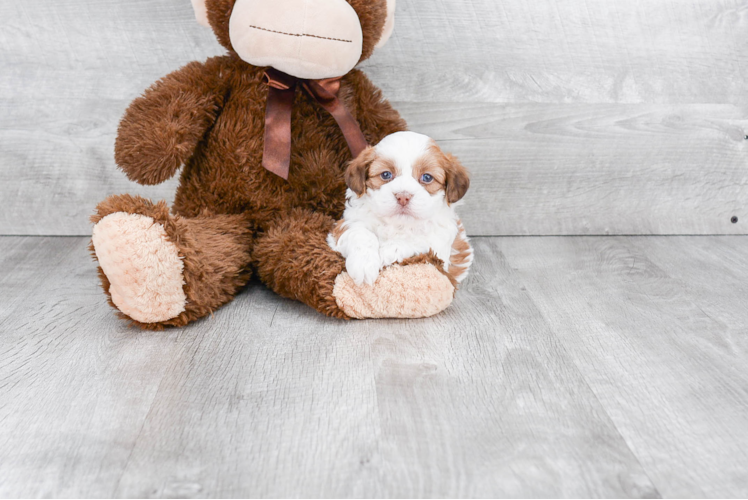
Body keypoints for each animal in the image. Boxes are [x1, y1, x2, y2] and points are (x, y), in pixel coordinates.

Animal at [328, 132, 474, 286]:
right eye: (386, 174)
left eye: (427, 177)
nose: (403, 196)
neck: (398, 224)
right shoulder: (347, 223)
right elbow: (361, 233)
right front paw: (363, 263)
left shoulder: (439, 246)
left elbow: (420, 242)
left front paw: (387, 251)